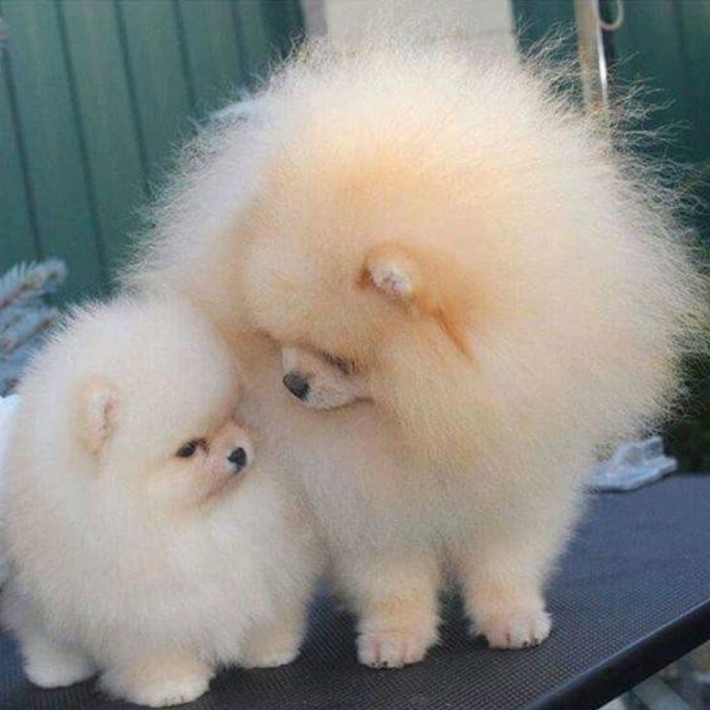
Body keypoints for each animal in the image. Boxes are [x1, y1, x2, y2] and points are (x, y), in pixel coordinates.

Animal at [1, 293, 321, 706]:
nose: (238, 453)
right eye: (187, 449)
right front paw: (171, 687)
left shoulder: (268, 568)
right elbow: (156, 655)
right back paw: (57, 673)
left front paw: (272, 650)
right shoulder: (143, 616)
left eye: (233, 414)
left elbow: (267, 611)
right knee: (44, 638)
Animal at [131, 35, 707, 667]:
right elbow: (392, 580)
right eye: (275, 341)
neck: (413, 419)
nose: (293, 384)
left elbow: (502, 564)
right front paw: (395, 637)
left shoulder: (512, 480)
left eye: (343, 360)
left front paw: (511, 619)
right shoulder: (368, 505)